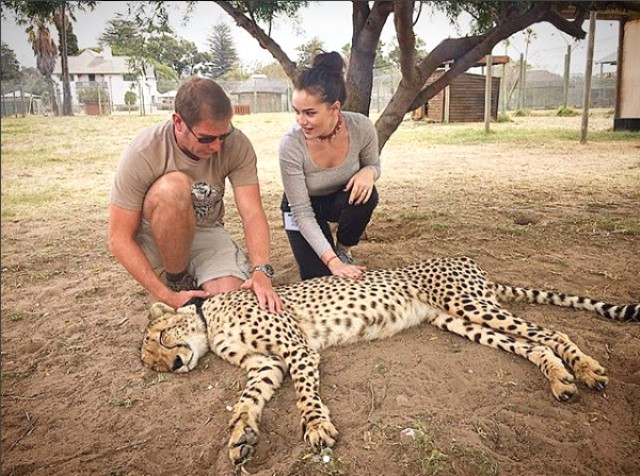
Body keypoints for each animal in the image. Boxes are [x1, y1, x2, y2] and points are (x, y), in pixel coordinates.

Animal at [139, 256, 636, 464]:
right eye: (153, 364)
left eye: (161, 338)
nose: (175, 366)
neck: (210, 323)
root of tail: (470, 261)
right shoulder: (267, 365)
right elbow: (246, 400)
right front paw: (242, 435)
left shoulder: (297, 349)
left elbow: (305, 397)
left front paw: (316, 428)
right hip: (456, 321)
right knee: (534, 346)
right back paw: (560, 379)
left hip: (468, 304)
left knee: (552, 332)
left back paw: (586, 370)